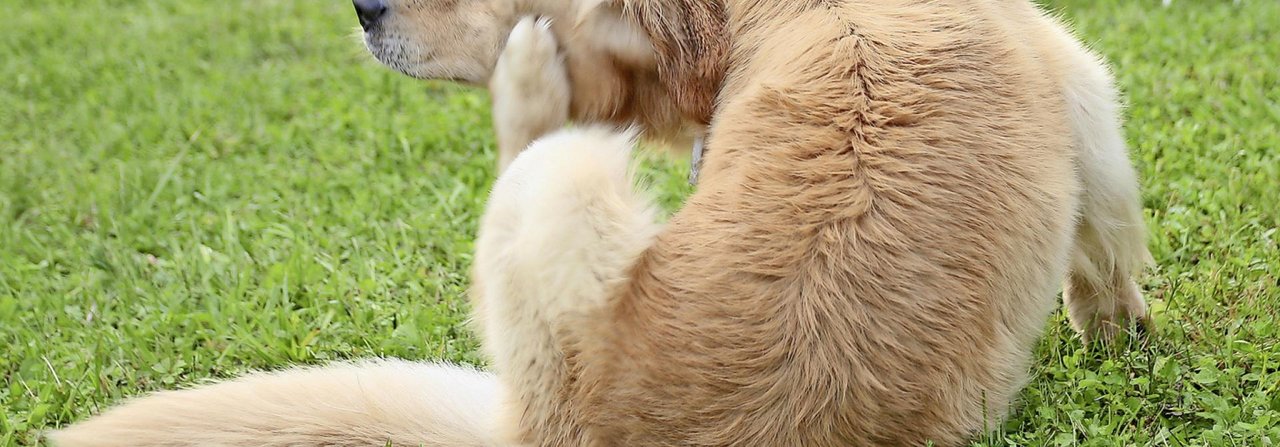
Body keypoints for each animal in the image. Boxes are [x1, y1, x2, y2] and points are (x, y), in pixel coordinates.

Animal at [47, 0, 1152, 443]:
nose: (360, 7)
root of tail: (543, 428)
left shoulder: (1078, 81)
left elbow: (1104, 240)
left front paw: (1115, 337)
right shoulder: (1079, 85)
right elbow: (1106, 236)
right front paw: (1121, 336)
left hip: (570, 186)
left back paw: (526, 78)